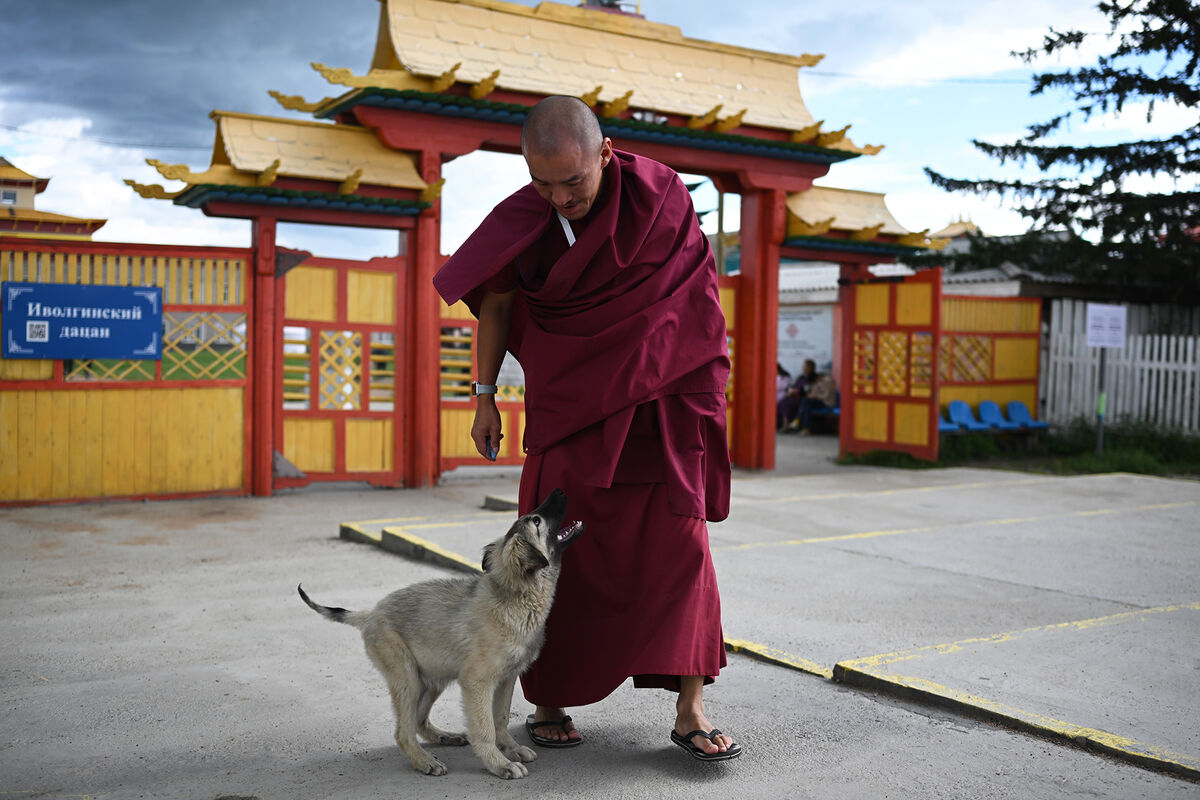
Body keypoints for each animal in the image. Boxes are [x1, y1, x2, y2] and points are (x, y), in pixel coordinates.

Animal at [298, 491, 580, 777]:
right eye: (537, 521)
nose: (559, 492)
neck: (514, 595)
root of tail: (370, 613)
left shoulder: (506, 679)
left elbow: (500, 718)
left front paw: (511, 749)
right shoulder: (477, 682)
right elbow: (485, 728)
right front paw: (499, 763)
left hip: (433, 678)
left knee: (418, 720)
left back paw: (444, 737)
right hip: (407, 679)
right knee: (403, 732)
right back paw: (424, 761)